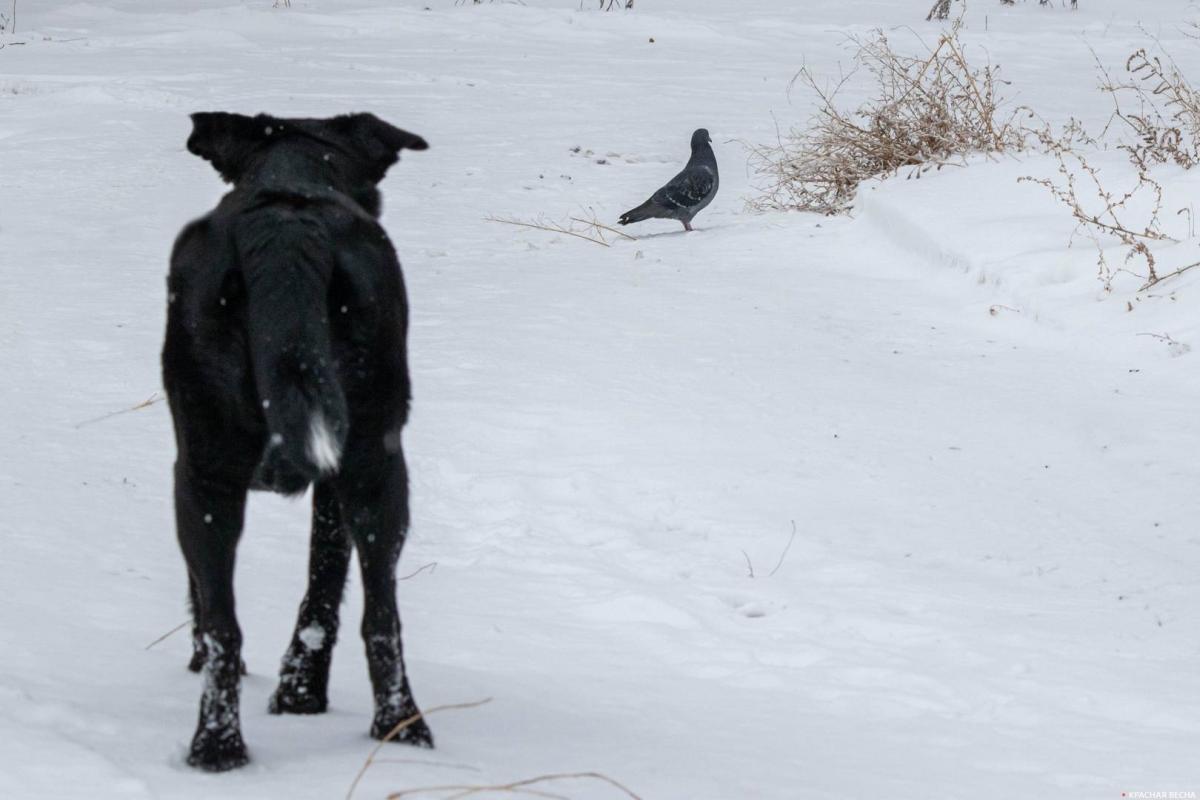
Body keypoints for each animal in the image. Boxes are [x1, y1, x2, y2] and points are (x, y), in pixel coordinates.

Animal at [162, 110, 429, 767]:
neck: (292, 174)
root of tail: (285, 231)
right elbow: (322, 591)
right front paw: (301, 694)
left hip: (211, 471)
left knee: (229, 624)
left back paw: (221, 745)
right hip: (372, 465)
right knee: (378, 616)